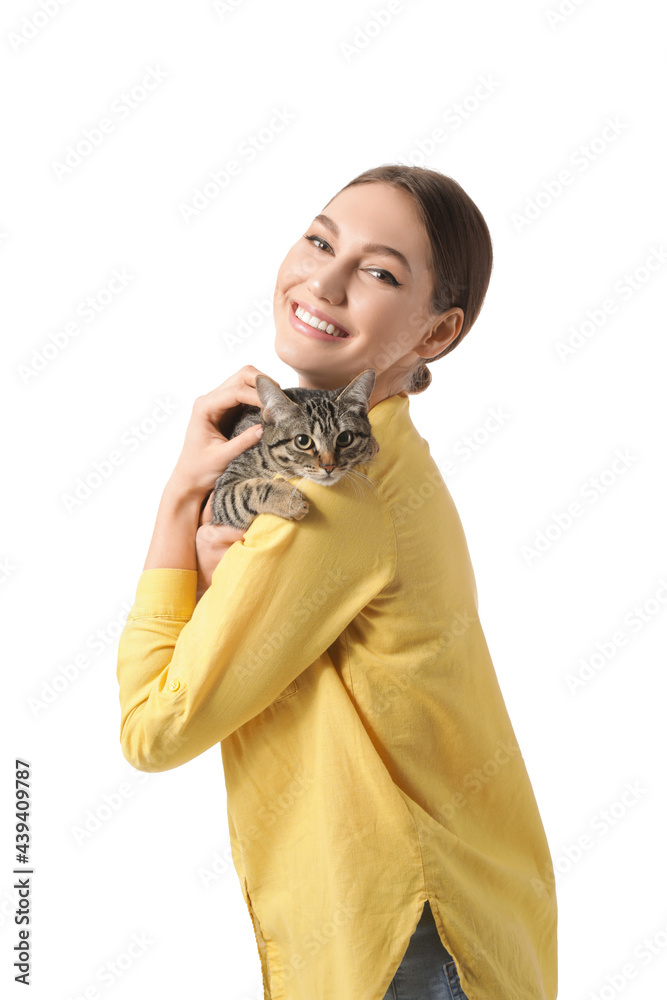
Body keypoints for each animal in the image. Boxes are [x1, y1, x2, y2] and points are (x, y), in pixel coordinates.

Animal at [209, 368, 378, 532]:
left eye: (344, 438)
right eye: (303, 441)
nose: (329, 466)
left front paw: (370, 446)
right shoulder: (224, 491)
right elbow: (246, 492)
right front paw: (288, 500)